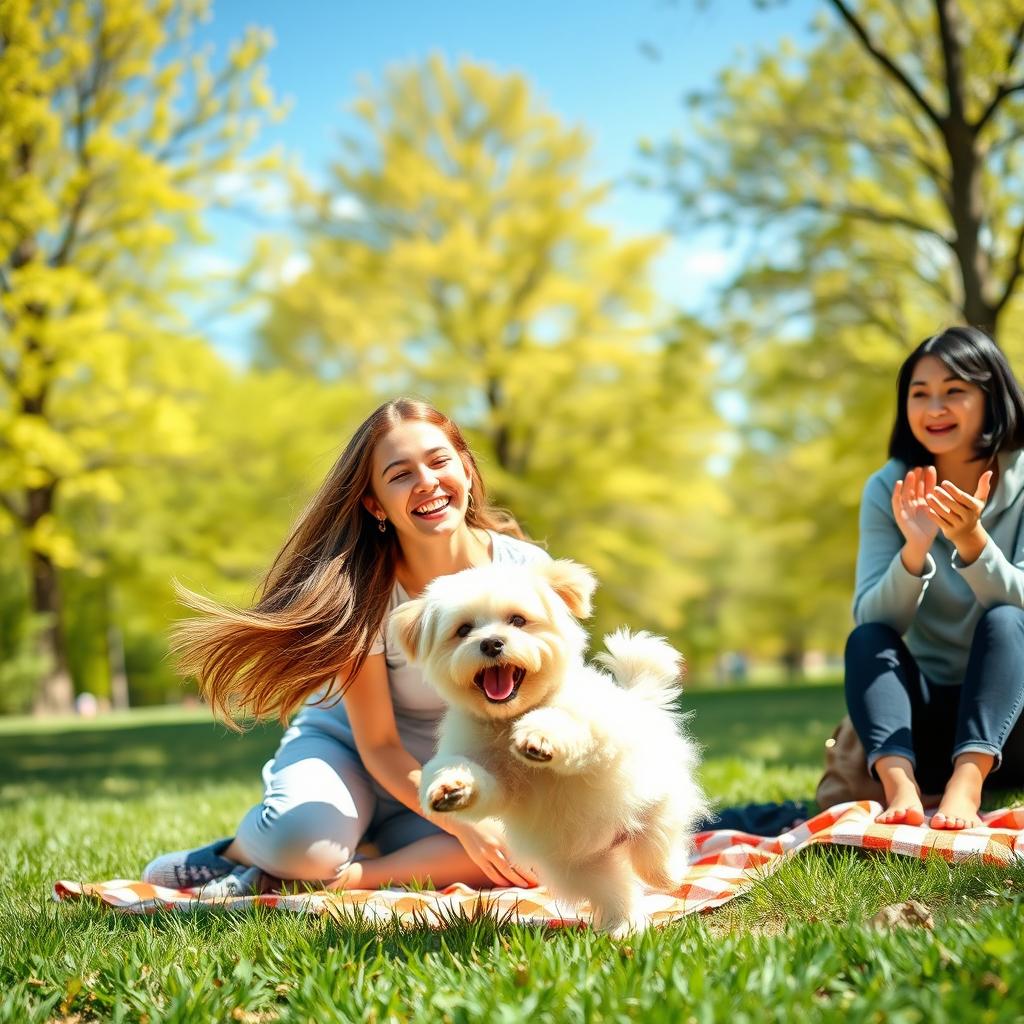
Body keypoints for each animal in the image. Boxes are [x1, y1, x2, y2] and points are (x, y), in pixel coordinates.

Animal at [387, 561, 708, 937]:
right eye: (463, 629)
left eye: (518, 620)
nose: (491, 643)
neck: (509, 718)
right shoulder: (493, 774)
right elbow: (478, 780)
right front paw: (452, 786)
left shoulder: (597, 729)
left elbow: (566, 724)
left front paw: (538, 738)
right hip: (583, 868)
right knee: (618, 891)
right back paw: (622, 926)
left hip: (656, 803)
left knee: (656, 849)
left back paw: (668, 873)